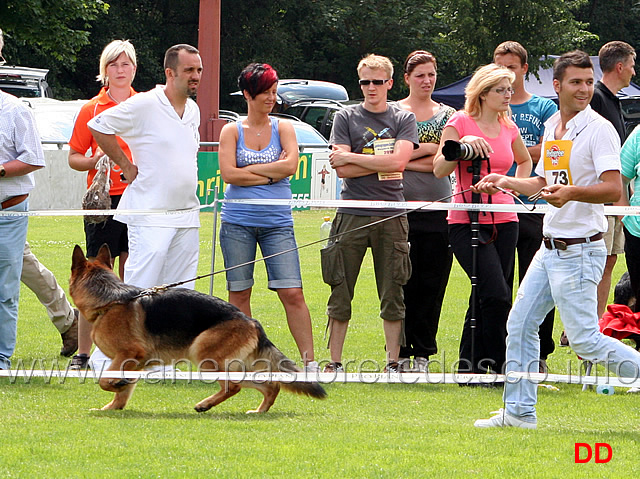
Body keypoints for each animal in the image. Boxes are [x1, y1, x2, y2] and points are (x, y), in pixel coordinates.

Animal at [71, 246, 324, 414]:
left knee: (233, 386)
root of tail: (251, 321)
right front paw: (112, 407)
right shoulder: (132, 362)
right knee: (268, 384)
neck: (109, 300)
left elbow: (105, 381)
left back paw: (205, 404)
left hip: (204, 355)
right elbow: (122, 394)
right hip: (231, 363)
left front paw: (115, 385)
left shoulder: (128, 354)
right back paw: (259, 410)